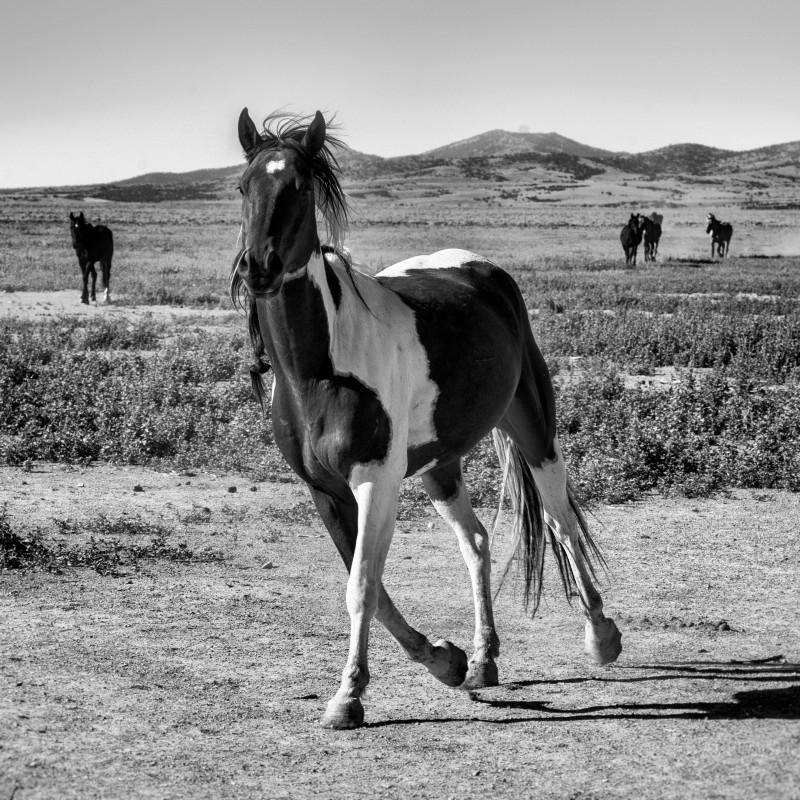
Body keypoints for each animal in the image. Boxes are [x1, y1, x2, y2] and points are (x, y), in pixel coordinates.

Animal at [232, 108, 622, 729]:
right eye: (244, 187)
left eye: (299, 187)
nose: (258, 268)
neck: (320, 367)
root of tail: (484, 271)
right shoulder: (325, 491)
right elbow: (373, 587)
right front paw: (445, 660)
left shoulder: (375, 481)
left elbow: (363, 588)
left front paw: (348, 697)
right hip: (440, 463)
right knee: (477, 541)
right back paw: (485, 658)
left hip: (532, 427)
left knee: (560, 519)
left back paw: (602, 637)